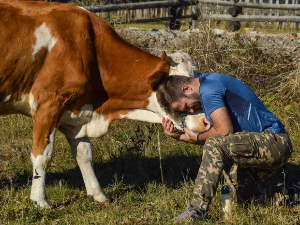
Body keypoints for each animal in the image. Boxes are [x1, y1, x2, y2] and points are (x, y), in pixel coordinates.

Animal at [0, 0, 206, 208]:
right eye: (180, 87)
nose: (205, 121)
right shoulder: (48, 104)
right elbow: (42, 156)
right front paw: (40, 201)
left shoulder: (77, 113)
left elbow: (84, 154)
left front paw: (97, 194)